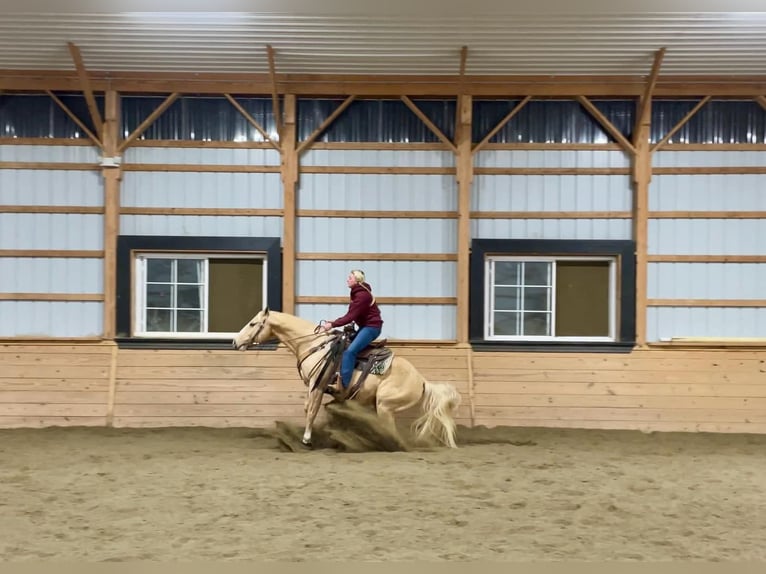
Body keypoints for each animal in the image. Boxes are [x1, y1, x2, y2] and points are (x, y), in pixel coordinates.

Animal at [234, 310, 462, 450]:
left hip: (385, 404)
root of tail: (421, 380)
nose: (235, 342)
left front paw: (307, 439)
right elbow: (310, 409)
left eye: (253, 323)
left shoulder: (317, 385)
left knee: (389, 430)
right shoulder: (314, 387)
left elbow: (311, 411)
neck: (313, 344)